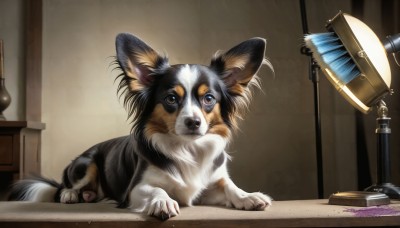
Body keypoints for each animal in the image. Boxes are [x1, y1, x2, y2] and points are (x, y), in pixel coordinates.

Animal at [7, 33, 274, 220]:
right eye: (171, 99)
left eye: (209, 98)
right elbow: (156, 190)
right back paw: (72, 194)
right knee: (64, 186)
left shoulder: (212, 182)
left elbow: (229, 186)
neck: (186, 148)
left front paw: (248, 196)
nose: (193, 122)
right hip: (86, 163)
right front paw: (163, 201)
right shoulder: (135, 189)